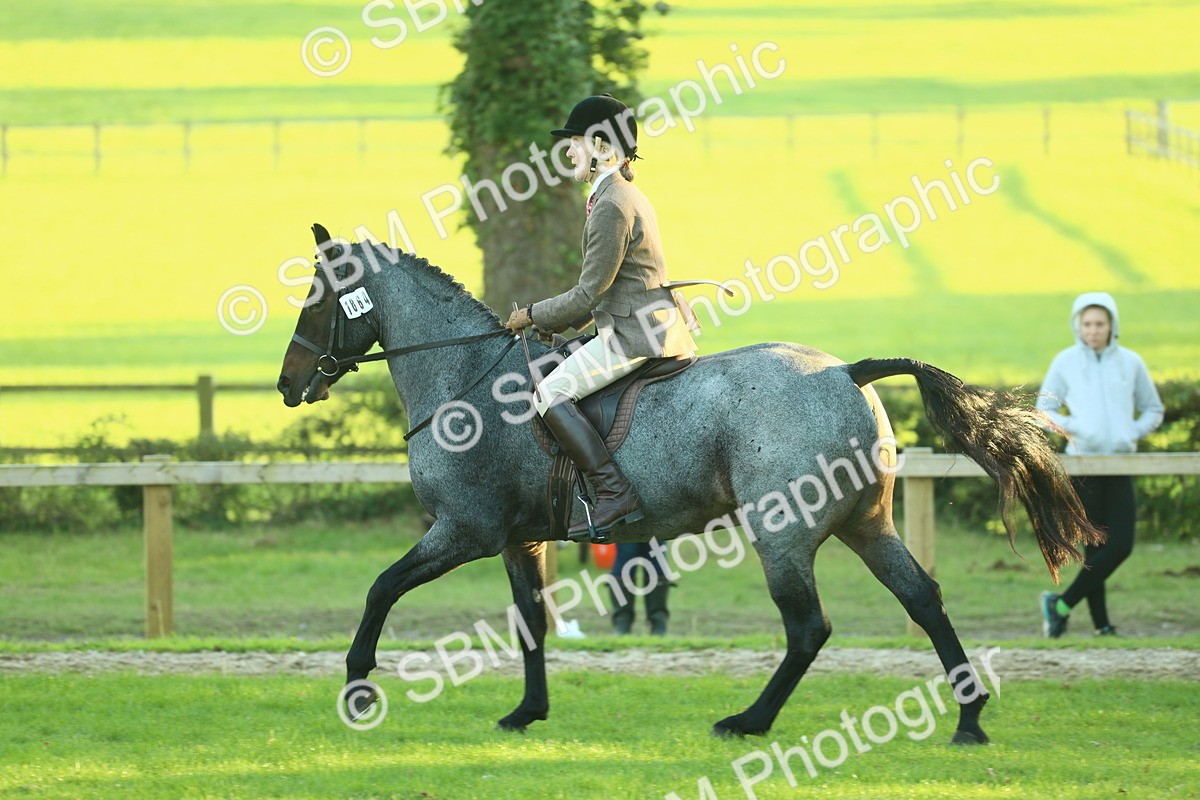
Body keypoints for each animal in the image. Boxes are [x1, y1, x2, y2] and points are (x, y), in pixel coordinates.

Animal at [276, 227, 1100, 743]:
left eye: (316, 297)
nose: (287, 385)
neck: (466, 380)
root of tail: (845, 371)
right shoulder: (518, 540)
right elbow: (532, 622)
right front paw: (527, 712)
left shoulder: (462, 532)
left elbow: (381, 589)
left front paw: (357, 688)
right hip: (867, 524)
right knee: (923, 600)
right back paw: (968, 720)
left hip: (782, 531)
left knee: (809, 627)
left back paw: (749, 722)